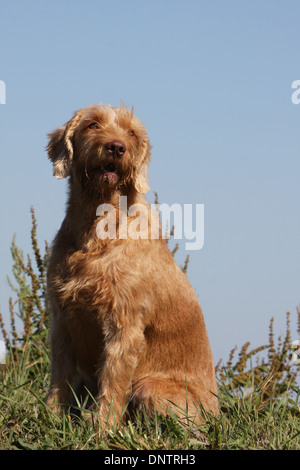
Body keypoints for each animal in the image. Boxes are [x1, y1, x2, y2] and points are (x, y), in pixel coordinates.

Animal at [45, 103, 218, 426]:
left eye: (132, 132)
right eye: (92, 124)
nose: (116, 146)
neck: (97, 228)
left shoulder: (124, 324)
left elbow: (113, 383)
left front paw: (103, 428)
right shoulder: (62, 321)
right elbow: (59, 378)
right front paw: (49, 418)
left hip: (150, 387)